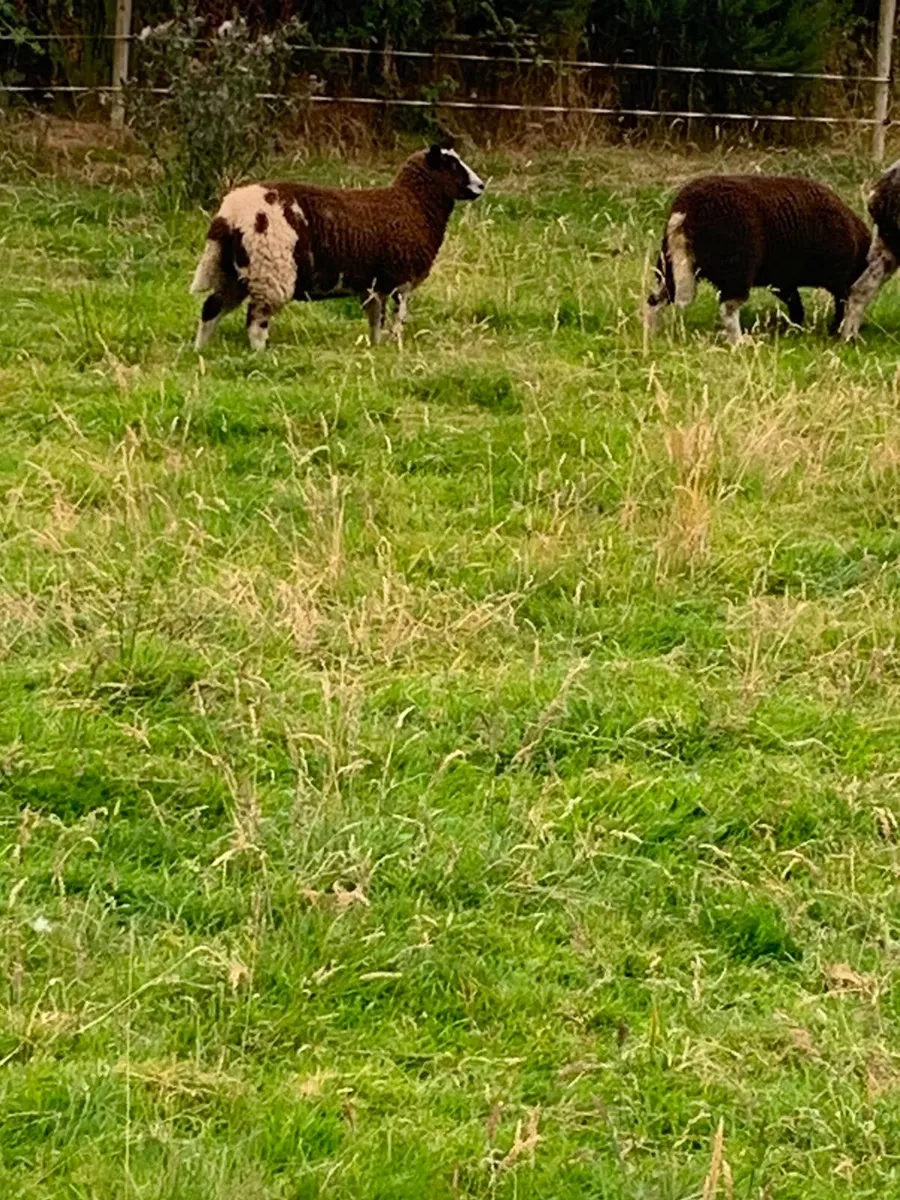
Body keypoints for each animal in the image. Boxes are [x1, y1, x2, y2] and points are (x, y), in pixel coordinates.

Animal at [189, 140, 485, 352]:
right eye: (451, 165)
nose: (481, 186)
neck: (412, 204)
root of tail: (228, 215)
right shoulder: (402, 280)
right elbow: (398, 319)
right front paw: (396, 346)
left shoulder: (374, 285)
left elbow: (375, 318)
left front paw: (376, 348)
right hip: (270, 272)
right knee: (256, 320)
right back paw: (260, 355)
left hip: (235, 272)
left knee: (211, 307)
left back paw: (200, 351)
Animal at [644, 175, 870, 344]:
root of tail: (685, 210)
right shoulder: (838, 279)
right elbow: (843, 306)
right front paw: (837, 331)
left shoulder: (783, 281)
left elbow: (797, 305)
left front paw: (796, 329)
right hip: (736, 268)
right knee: (728, 308)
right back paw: (739, 343)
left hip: (671, 266)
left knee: (654, 300)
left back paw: (652, 334)